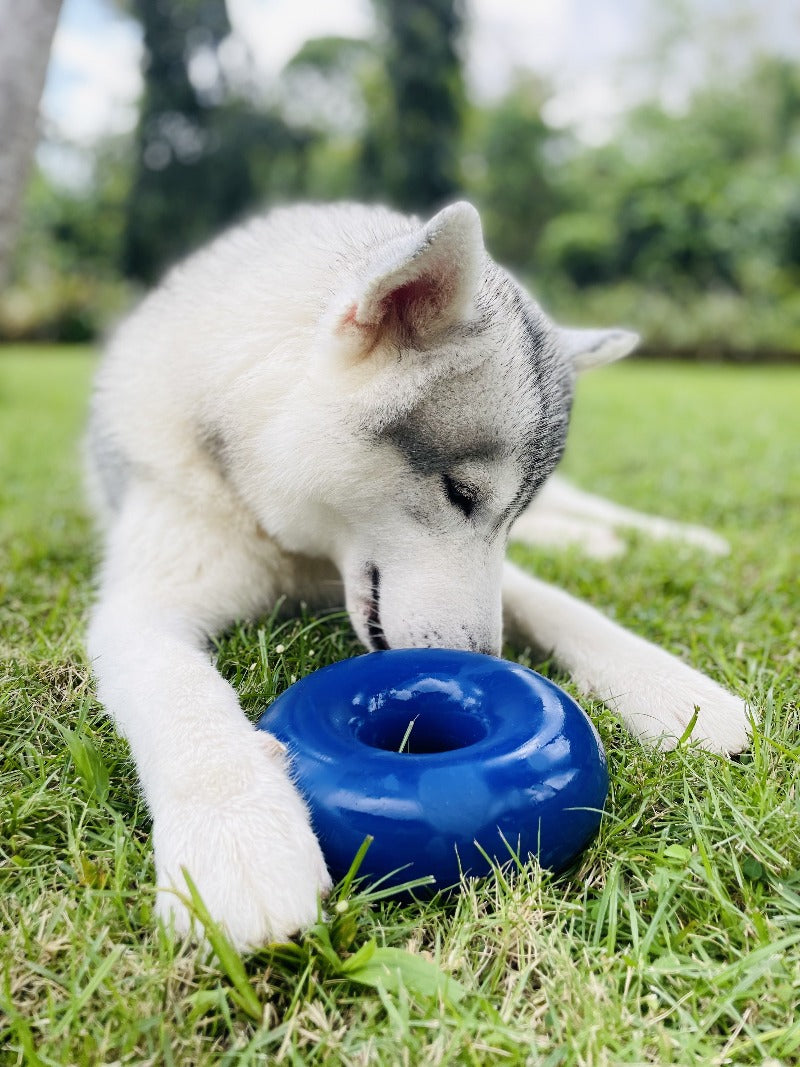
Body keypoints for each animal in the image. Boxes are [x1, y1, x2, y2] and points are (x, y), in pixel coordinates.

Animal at [87, 200, 750, 951]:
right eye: (460, 492)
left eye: (507, 514)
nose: (480, 663)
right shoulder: (141, 605)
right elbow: (181, 693)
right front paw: (238, 837)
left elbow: (560, 605)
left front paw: (676, 691)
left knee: (592, 508)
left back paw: (671, 538)